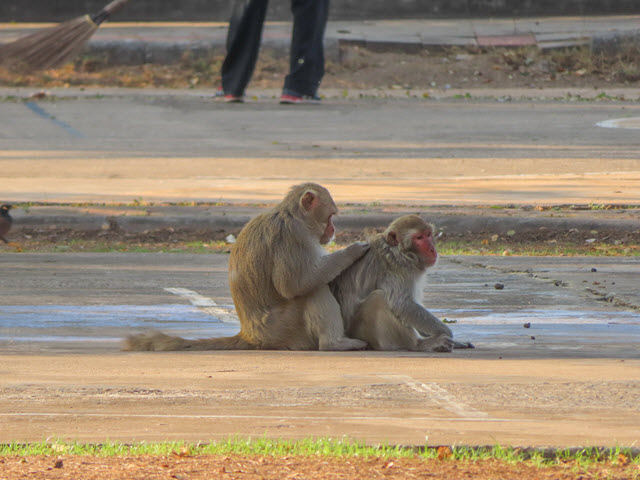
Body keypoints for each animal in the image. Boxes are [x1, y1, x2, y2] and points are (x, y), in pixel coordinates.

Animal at [124, 183, 369, 351]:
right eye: (331, 216)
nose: (333, 230)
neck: (293, 215)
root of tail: (249, 335)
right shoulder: (293, 236)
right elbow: (295, 285)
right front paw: (352, 251)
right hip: (282, 328)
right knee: (312, 290)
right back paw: (334, 343)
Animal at [330, 215, 473, 353]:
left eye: (428, 234)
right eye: (419, 238)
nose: (432, 249)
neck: (400, 251)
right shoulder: (399, 268)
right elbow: (403, 304)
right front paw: (446, 332)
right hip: (360, 333)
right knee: (379, 298)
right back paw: (419, 345)